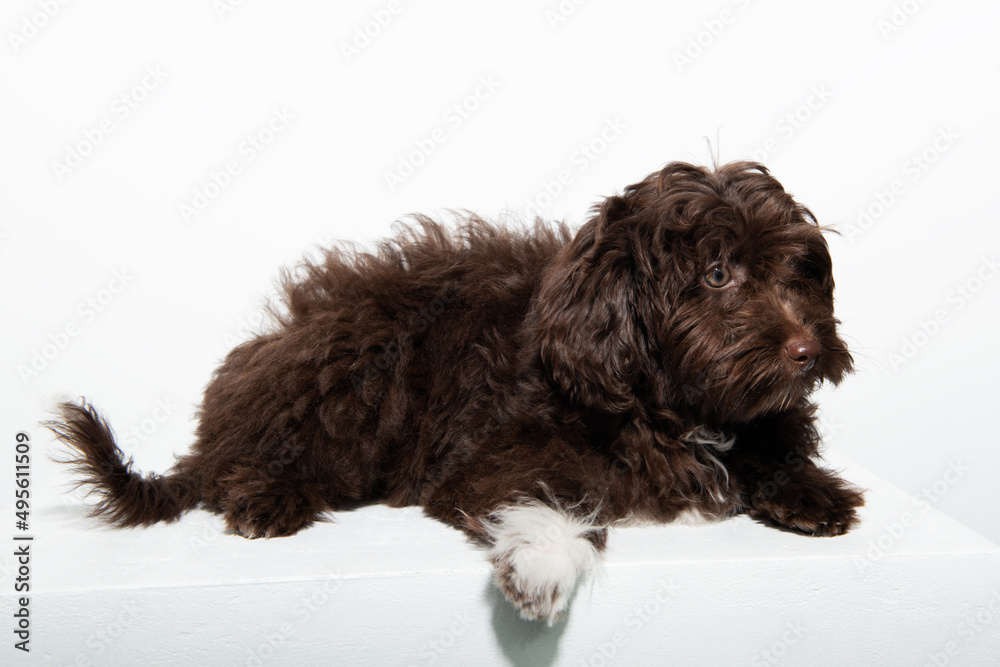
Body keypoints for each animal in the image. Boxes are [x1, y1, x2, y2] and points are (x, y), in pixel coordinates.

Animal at [48, 160, 860, 628]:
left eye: (798, 273)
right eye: (719, 274)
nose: (808, 349)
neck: (671, 408)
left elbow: (775, 447)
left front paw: (812, 491)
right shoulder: (496, 450)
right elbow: (551, 494)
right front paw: (542, 566)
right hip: (358, 362)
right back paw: (267, 494)